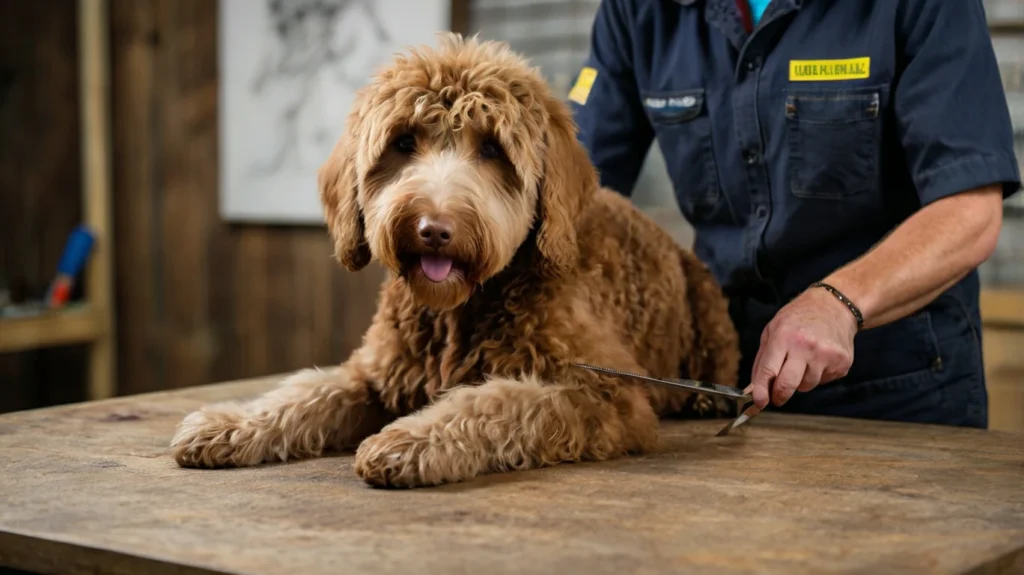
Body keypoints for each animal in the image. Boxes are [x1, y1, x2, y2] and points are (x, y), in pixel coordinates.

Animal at [172, 33, 741, 484]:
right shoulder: (374, 373)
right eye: (403, 142)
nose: (434, 230)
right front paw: (231, 423)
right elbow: (308, 390)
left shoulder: (605, 393)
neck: (458, 312)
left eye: (491, 149)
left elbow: (502, 401)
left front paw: (410, 441)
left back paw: (708, 396)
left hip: (709, 308)